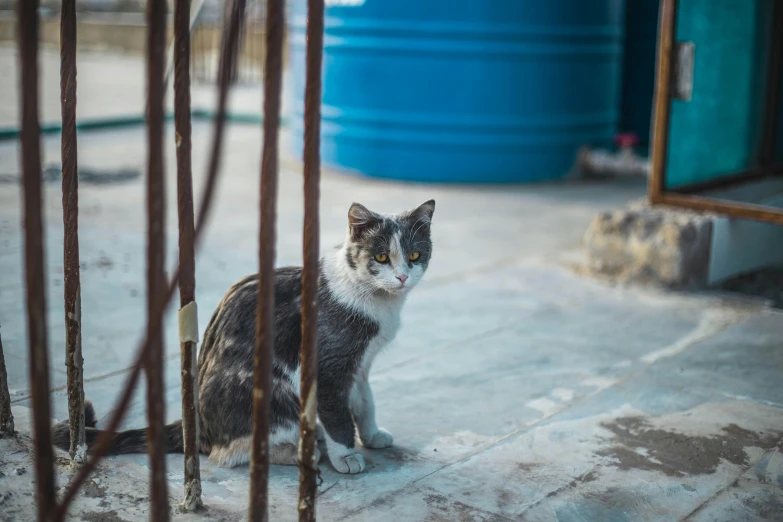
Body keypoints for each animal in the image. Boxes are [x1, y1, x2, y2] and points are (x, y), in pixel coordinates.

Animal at [53, 198, 434, 472]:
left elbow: (364, 401)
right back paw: (301, 451)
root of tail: (196, 426)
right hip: (273, 396)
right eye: (381, 257)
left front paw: (371, 435)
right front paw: (346, 456)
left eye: (415, 255)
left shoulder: (360, 364)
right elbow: (338, 413)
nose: (402, 277)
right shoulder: (329, 367)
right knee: (230, 453)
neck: (375, 300)